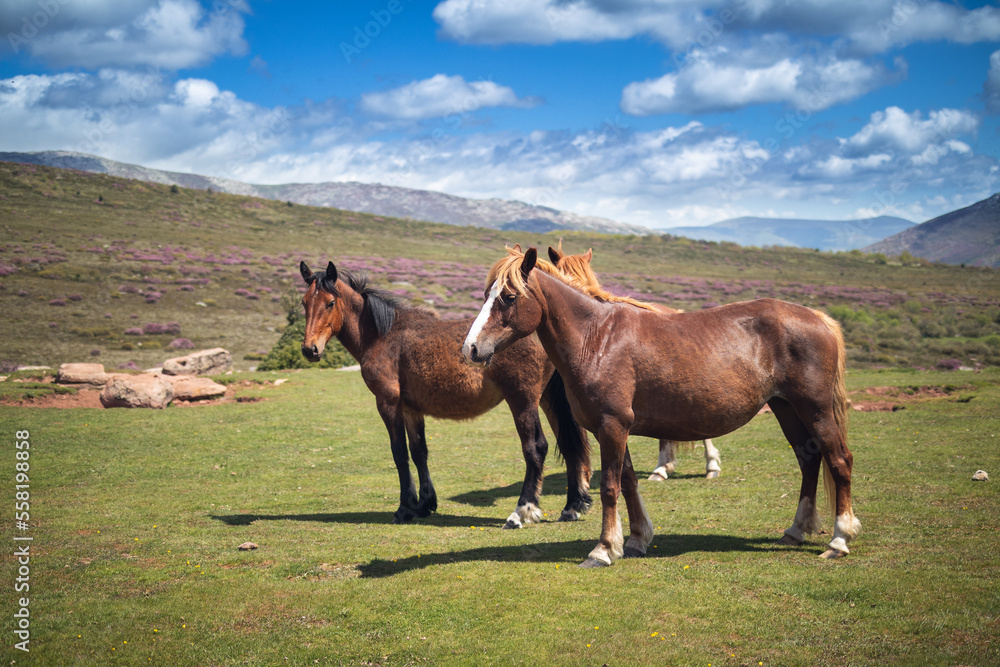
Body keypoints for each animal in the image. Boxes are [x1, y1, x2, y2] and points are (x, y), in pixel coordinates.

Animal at [298, 259, 592, 529]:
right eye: (304, 303)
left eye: (330, 303)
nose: (310, 349)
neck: (383, 335)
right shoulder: (410, 408)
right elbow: (419, 452)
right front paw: (424, 504)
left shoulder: (388, 403)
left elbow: (399, 453)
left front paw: (404, 509)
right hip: (546, 399)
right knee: (569, 444)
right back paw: (572, 507)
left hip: (522, 400)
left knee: (536, 448)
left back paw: (521, 512)